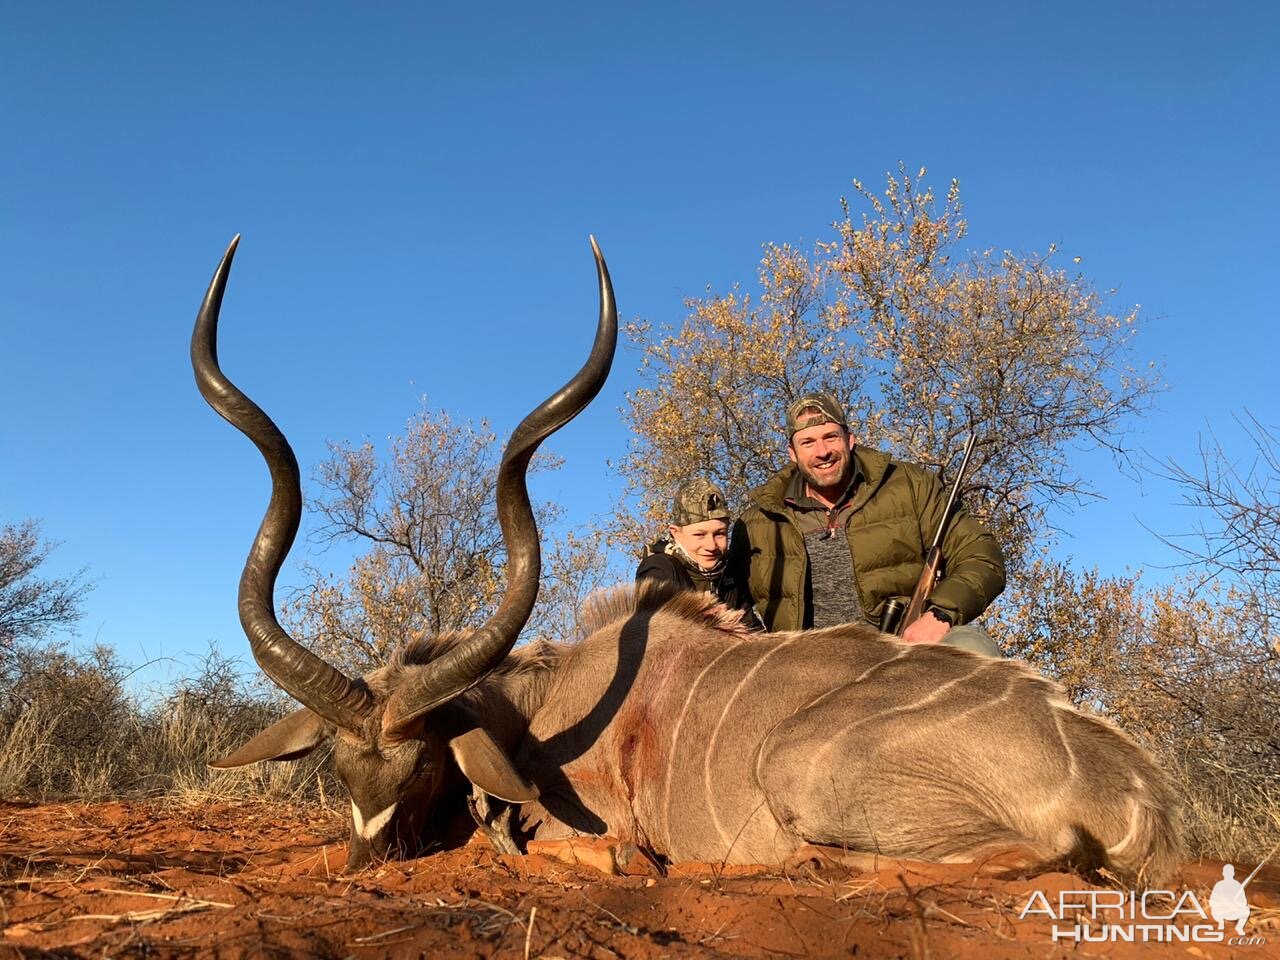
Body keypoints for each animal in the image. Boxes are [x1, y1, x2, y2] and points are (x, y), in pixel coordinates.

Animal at [194, 236, 1182, 885]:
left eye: (425, 764)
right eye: (339, 770)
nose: (366, 862)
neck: (540, 708)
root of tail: (1138, 794)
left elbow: (579, 847)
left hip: (801, 771)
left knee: (1034, 860)